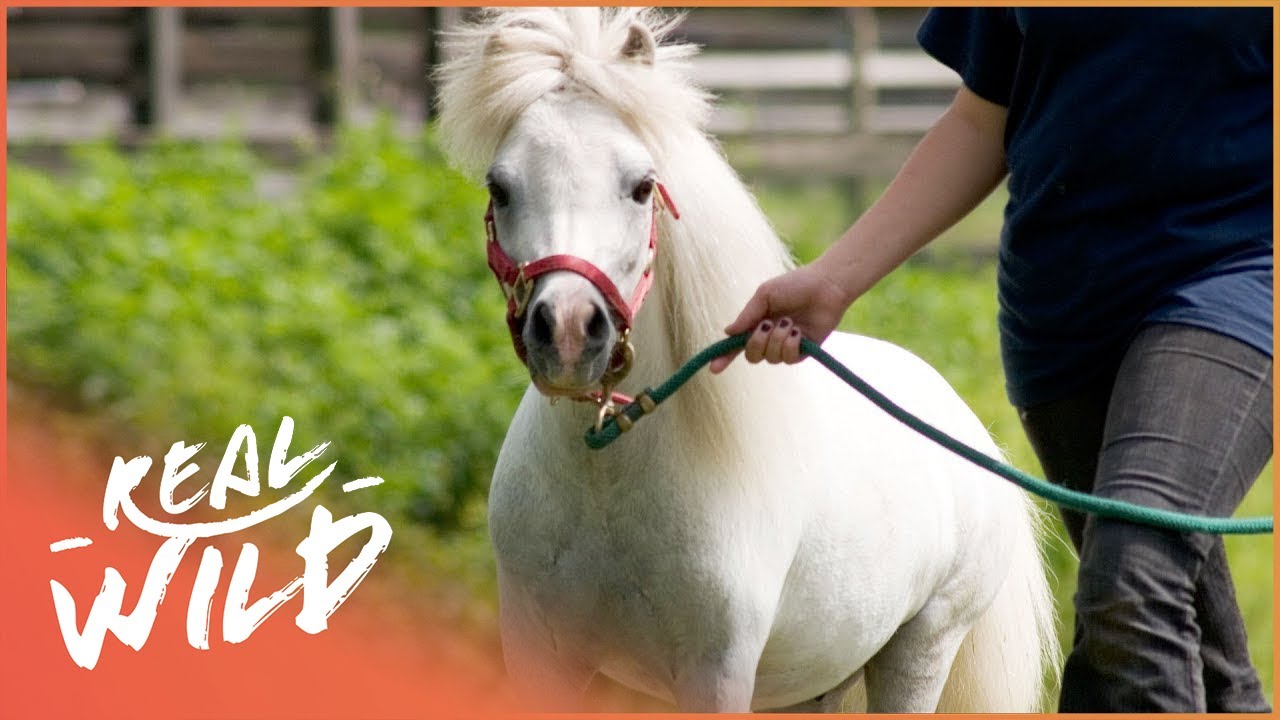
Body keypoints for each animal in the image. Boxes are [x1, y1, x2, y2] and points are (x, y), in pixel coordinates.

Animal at [435, 8, 1058, 712]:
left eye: (642, 186)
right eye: (500, 186)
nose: (568, 331)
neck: (608, 482)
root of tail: (963, 423)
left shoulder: (716, 673)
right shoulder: (542, 660)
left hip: (921, 650)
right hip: (818, 679)